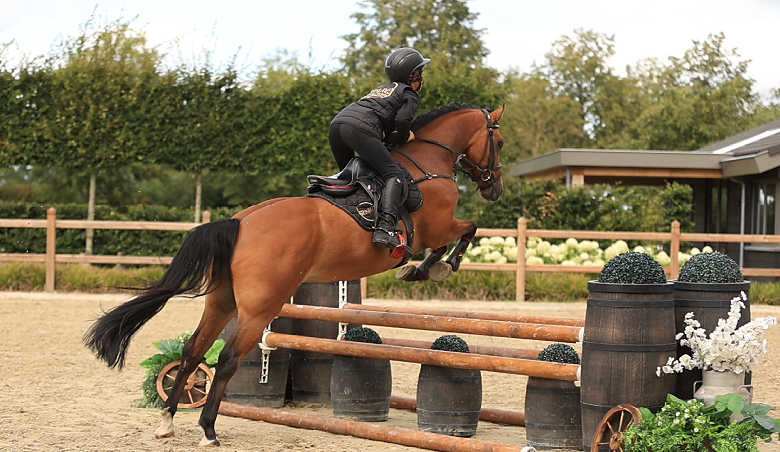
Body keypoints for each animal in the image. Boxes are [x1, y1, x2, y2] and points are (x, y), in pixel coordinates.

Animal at [83, 102, 506, 447]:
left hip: (222, 303)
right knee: (228, 359)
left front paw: (424, 270)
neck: (426, 163)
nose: (495, 189)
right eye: (498, 141)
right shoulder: (438, 227)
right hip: (258, 309)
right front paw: (433, 269)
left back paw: (167, 422)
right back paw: (208, 430)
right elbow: (466, 230)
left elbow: (463, 232)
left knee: (192, 352)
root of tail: (240, 222)